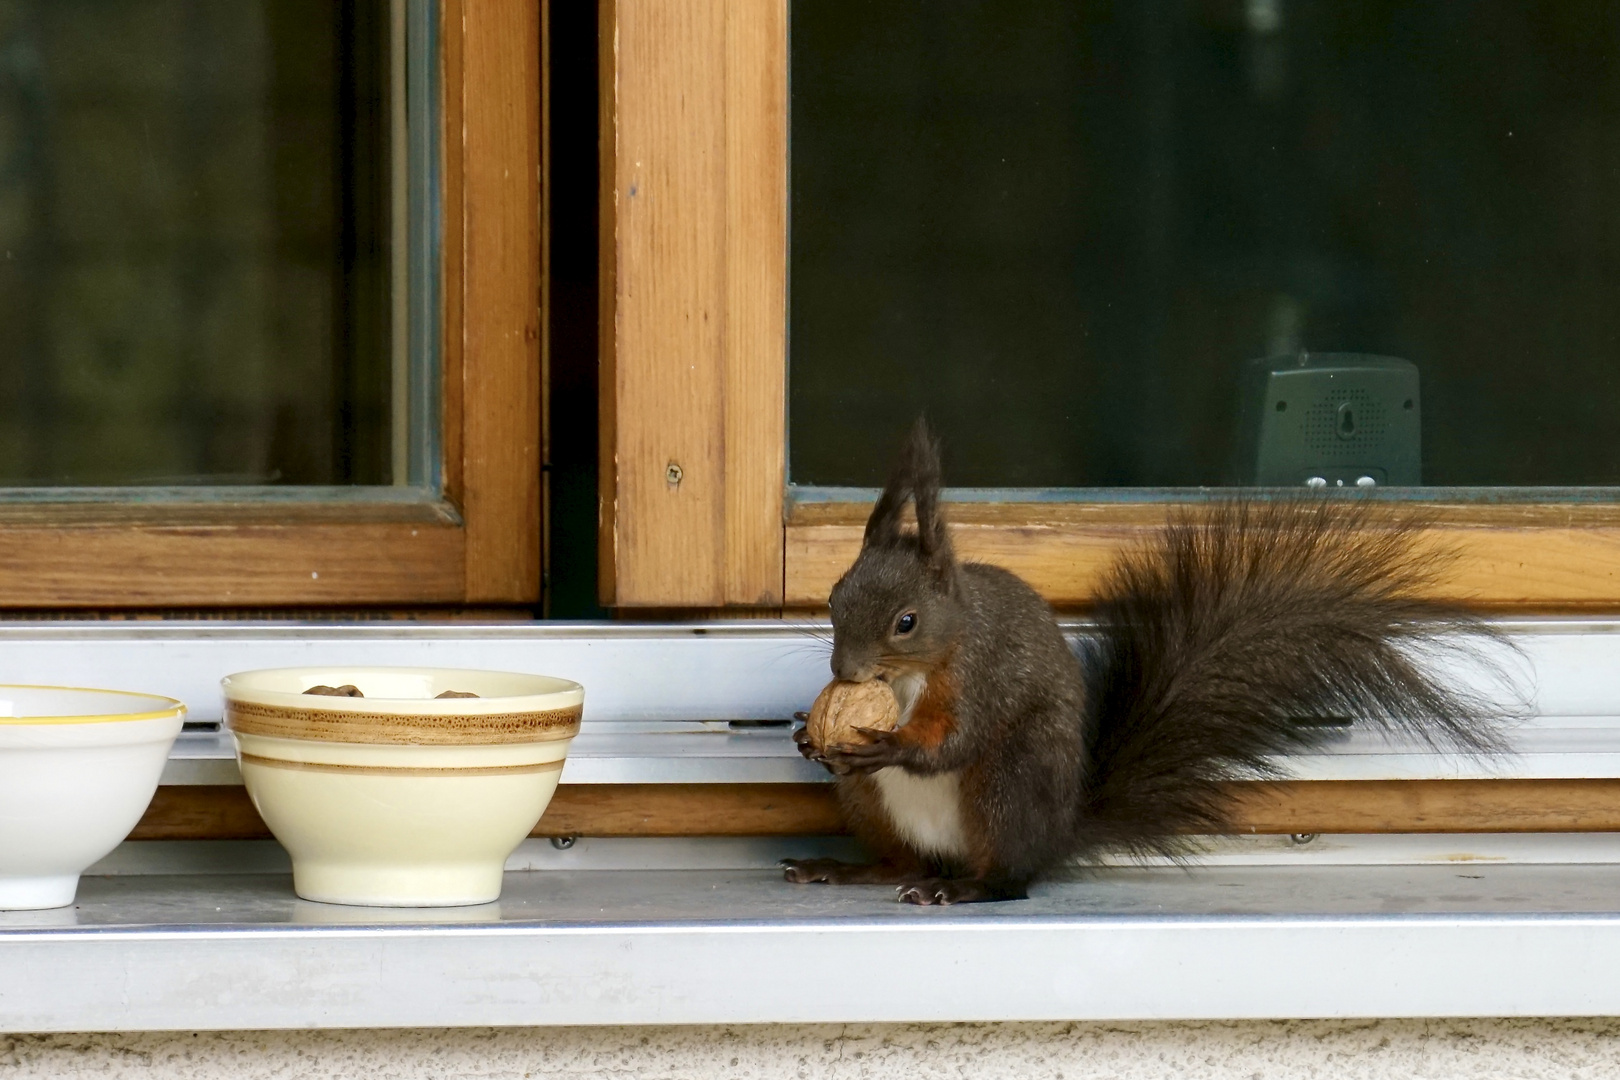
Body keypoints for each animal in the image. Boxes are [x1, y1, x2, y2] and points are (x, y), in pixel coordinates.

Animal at [784, 420, 1516, 906]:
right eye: (834, 597)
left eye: (905, 622)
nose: (845, 673)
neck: (909, 675)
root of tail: (1056, 832)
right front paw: (804, 732)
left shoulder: (981, 676)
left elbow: (952, 741)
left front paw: (887, 745)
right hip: (871, 808)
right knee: (905, 863)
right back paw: (854, 869)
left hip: (1009, 784)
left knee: (1010, 879)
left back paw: (969, 889)